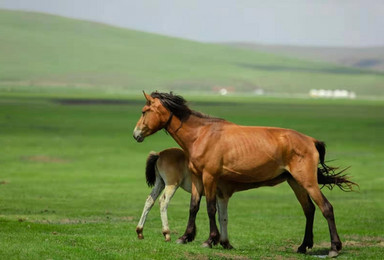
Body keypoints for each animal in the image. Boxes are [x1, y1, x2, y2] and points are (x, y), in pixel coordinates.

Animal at [134, 91, 356, 256]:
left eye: (144, 111)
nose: (136, 134)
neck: (201, 134)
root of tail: (311, 140)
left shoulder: (210, 177)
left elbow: (211, 209)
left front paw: (210, 240)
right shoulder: (198, 178)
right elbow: (194, 207)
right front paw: (185, 237)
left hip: (307, 181)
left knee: (326, 208)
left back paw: (334, 248)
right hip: (295, 182)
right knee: (309, 209)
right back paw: (303, 246)